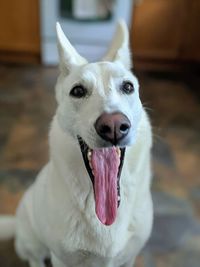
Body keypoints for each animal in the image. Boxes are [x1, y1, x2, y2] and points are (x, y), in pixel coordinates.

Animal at [0, 21, 153, 267]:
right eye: (78, 91)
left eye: (128, 87)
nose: (113, 126)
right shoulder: (62, 259)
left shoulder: (129, 258)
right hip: (32, 241)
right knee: (34, 258)